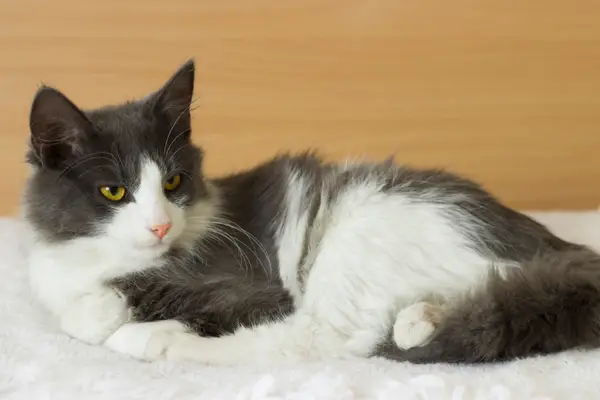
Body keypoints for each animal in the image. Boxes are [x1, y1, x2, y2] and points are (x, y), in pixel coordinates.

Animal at [23, 59, 600, 366]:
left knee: (322, 337)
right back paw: (421, 320)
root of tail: (558, 247)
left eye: (172, 182)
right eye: (114, 191)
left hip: (360, 236)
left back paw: (156, 340)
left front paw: (115, 317)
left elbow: (94, 309)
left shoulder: (250, 284)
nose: (160, 224)